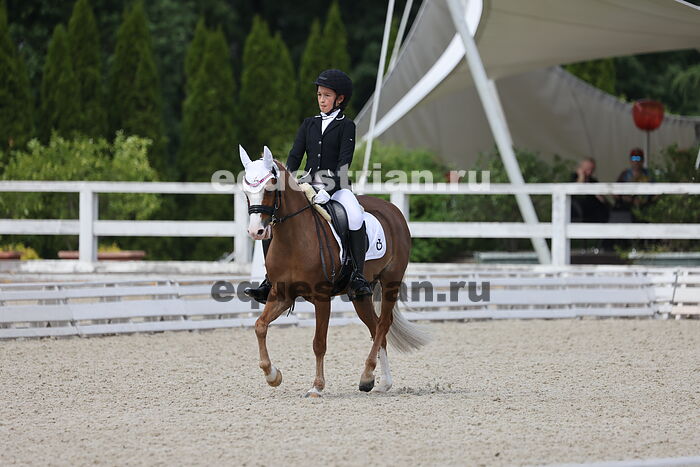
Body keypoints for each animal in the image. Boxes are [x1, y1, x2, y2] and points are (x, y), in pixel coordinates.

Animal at [239, 146, 429, 397]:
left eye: (270, 186)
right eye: (246, 190)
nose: (256, 231)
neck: (293, 239)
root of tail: (392, 210)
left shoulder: (321, 298)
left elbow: (319, 343)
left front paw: (317, 387)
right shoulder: (282, 295)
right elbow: (260, 326)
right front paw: (273, 376)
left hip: (391, 281)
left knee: (382, 325)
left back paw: (367, 375)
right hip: (360, 294)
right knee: (376, 327)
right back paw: (380, 382)